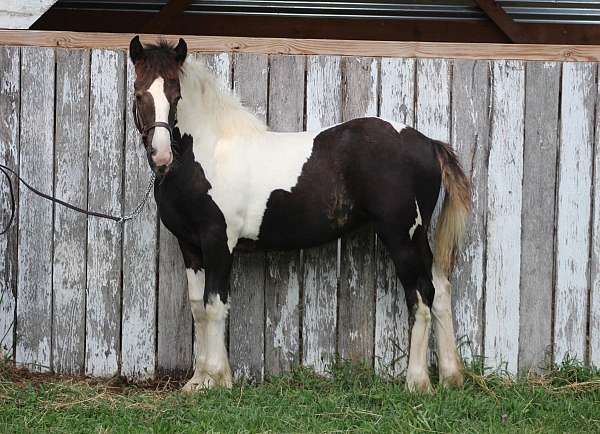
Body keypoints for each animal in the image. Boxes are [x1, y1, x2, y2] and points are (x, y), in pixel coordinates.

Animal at [129, 35, 472, 392]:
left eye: (176, 95)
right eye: (138, 93)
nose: (161, 156)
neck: (209, 153)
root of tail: (428, 143)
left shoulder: (218, 243)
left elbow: (215, 305)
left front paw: (217, 377)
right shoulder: (191, 246)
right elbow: (198, 307)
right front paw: (198, 381)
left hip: (401, 236)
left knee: (421, 294)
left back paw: (417, 381)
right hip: (418, 237)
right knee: (441, 289)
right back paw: (451, 376)